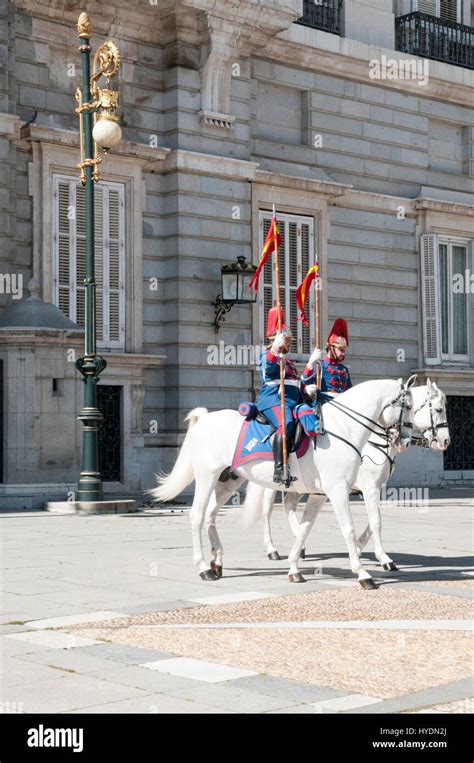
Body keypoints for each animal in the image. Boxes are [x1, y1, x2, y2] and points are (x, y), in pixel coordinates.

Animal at [153, 380, 414, 588]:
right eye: (409, 407)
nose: (406, 441)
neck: (343, 428)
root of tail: (204, 419)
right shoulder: (340, 490)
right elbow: (349, 529)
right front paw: (363, 573)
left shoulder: (320, 494)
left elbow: (305, 529)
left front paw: (294, 569)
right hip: (207, 476)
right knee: (197, 516)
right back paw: (203, 568)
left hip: (228, 481)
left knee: (210, 515)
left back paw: (217, 561)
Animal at [250, 380, 450, 572]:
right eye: (439, 409)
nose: (445, 441)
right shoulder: (368, 487)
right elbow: (376, 521)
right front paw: (383, 558)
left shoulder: (375, 487)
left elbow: (373, 519)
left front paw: (359, 547)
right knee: (267, 510)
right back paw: (272, 549)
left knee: (289, 504)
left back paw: (300, 544)